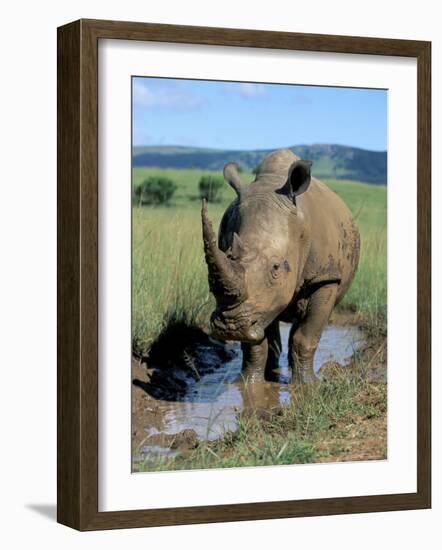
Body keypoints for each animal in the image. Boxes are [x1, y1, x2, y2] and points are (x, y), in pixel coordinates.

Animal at [202, 149, 360, 386]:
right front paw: (247, 384)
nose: (230, 327)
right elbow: (255, 342)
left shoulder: (325, 277)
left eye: (276, 267)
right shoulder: (259, 304)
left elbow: (306, 335)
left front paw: (308, 386)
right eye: (228, 255)